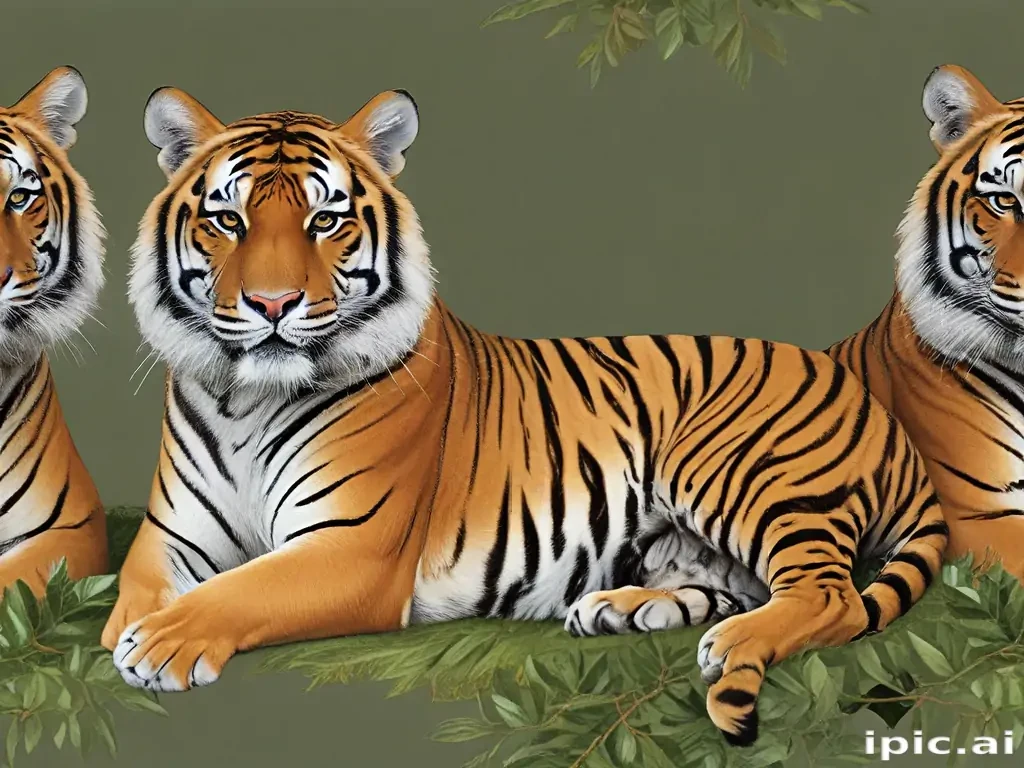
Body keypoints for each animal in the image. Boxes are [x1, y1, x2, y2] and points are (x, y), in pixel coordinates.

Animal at [102, 84, 948, 747]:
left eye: (325, 221)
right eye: (229, 221)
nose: (273, 305)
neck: (246, 397)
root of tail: (874, 403)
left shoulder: (353, 547)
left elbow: (242, 590)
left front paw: (160, 645)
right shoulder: (170, 537)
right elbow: (136, 597)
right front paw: (133, 631)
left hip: (736, 464)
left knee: (828, 594)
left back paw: (727, 642)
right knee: (741, 583)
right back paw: (618, 610)